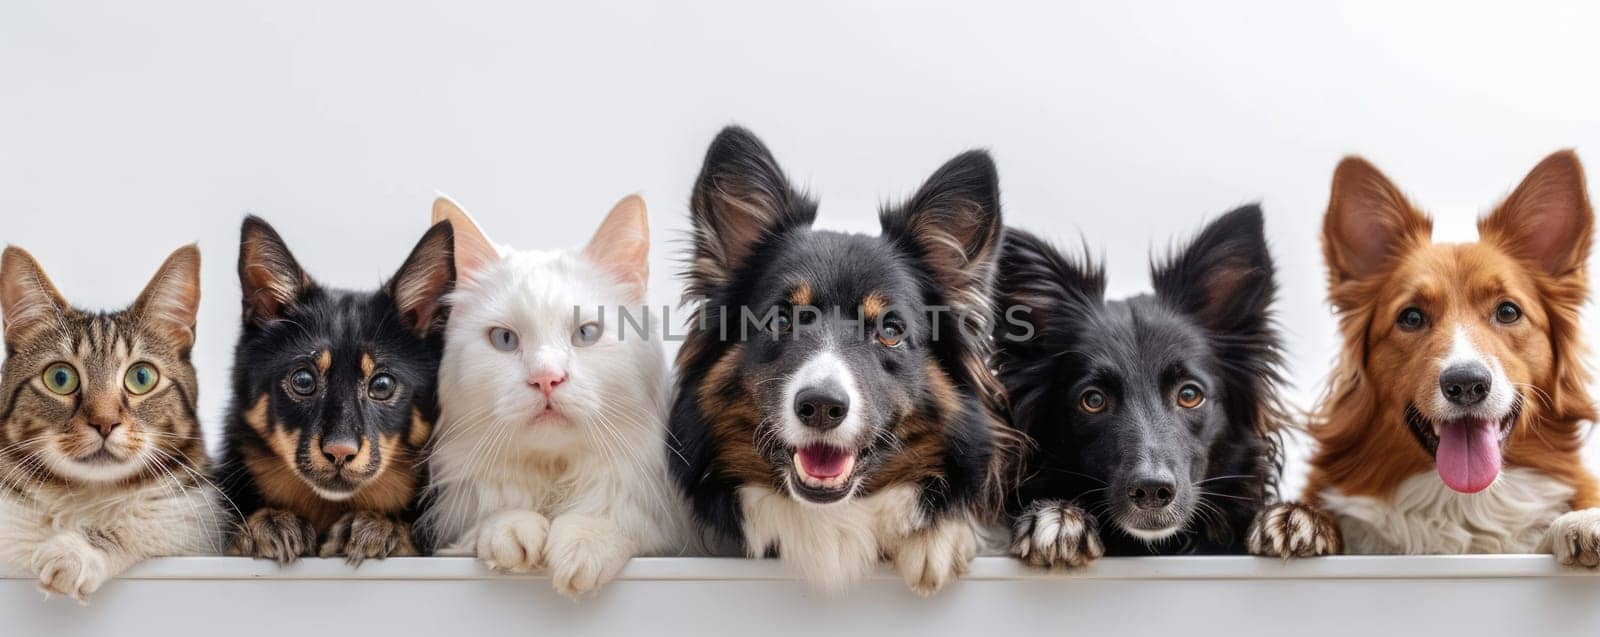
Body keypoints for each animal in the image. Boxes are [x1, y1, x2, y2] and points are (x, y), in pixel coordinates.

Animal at [419, 194, 688, 598]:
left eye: (586, 333)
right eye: (504, 339)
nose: (546, 379)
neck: (553, 478)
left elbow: (615, 515)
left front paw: (584, 542)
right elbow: (498, 510)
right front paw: (511, 528)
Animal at [1248, 152, 1600, 563]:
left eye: (1508, 311)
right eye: (1411, 317)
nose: (1466, 384)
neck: (1461, 505)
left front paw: (1582, 521)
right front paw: (1302, 517)